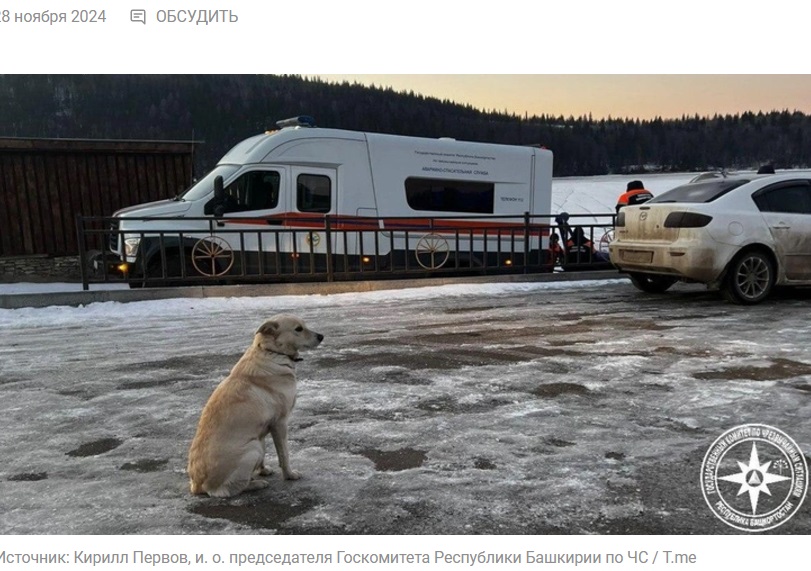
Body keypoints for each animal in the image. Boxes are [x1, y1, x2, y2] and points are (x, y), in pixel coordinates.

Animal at [187, 316, 324, 498]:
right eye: (298, 329)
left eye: (304, 325)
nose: (321, 336)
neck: (271, 352)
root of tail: (197, 485)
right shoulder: (280, 423)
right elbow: (284, 454)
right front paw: (289, 475)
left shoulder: (263, 429)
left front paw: (263, 470)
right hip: (253, 449)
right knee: (228, 489)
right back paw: (256, 484)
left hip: (256, 444)